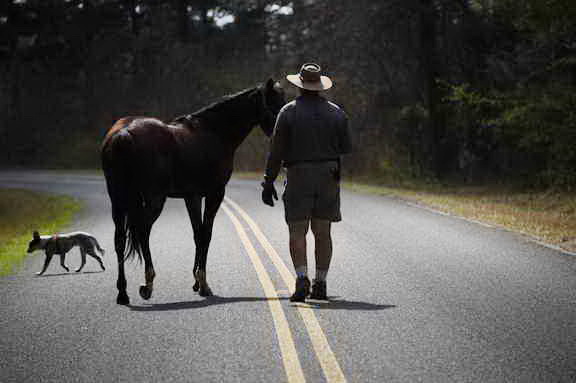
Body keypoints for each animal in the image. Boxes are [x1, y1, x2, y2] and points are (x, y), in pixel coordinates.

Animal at [103, 79, 286, 306]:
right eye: (275, 104)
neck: (216, 132)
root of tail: (123, 134)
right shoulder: (215, 194)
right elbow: (206, 234)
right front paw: (203, 284)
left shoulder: (192, 197)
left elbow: (197, 234)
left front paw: (196, 282)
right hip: (154, 199)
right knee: (143, 232)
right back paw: (148, 284)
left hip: (118, 200)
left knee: (120, 240)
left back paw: (123, 292)